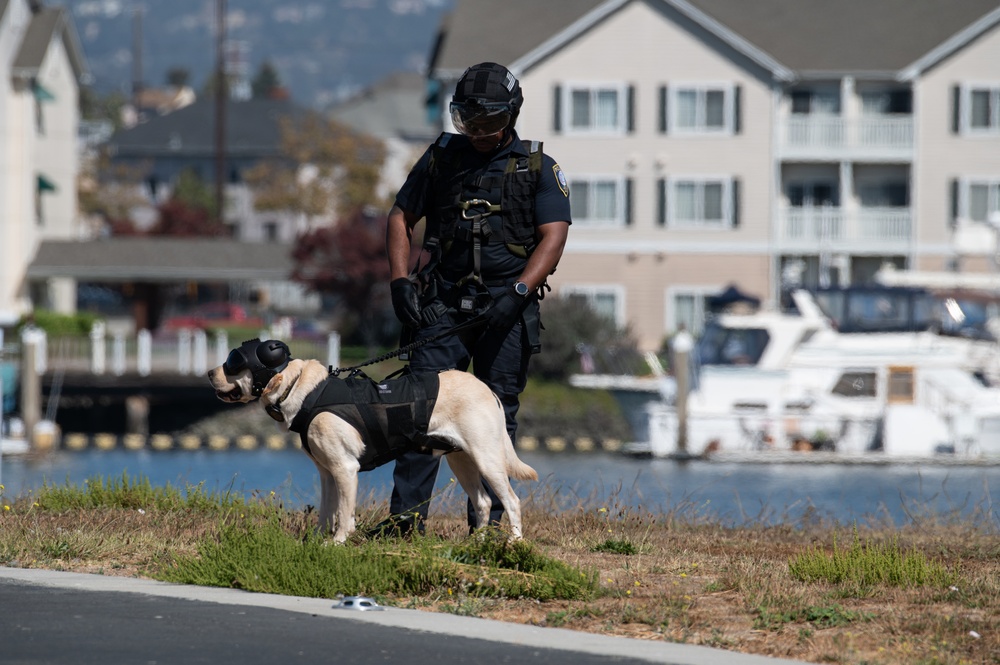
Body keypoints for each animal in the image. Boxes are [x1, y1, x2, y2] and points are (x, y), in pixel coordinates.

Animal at [205, 340, 540, 544]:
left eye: (233, 362)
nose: (208, 372)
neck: (300, 387)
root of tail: (488, 390)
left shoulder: (345, 468)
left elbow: (343, 513)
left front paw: (338, 542)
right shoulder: (327, 472)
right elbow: (327, 509)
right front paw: (316, 540)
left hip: (486, 457)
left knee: (510, 501)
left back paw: (514, 541)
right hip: (462, 459)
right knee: (483, 502)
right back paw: (476, 543)